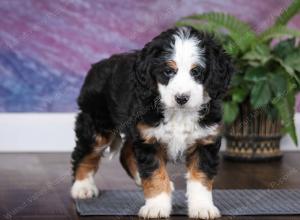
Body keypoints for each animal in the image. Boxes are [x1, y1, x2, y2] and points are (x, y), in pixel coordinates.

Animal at [71, 25, 234, 218]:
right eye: (168, 71)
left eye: (196, 72)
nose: (181, 98)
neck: (179, 113)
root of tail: (98, 65)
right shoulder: (150, 140)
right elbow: (155, 175)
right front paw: (156, 207)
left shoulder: (204, 140)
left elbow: (200, 178)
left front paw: (202, 207)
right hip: (97, 124)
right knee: (84, 153)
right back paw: (82, 187)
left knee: (125, 152)